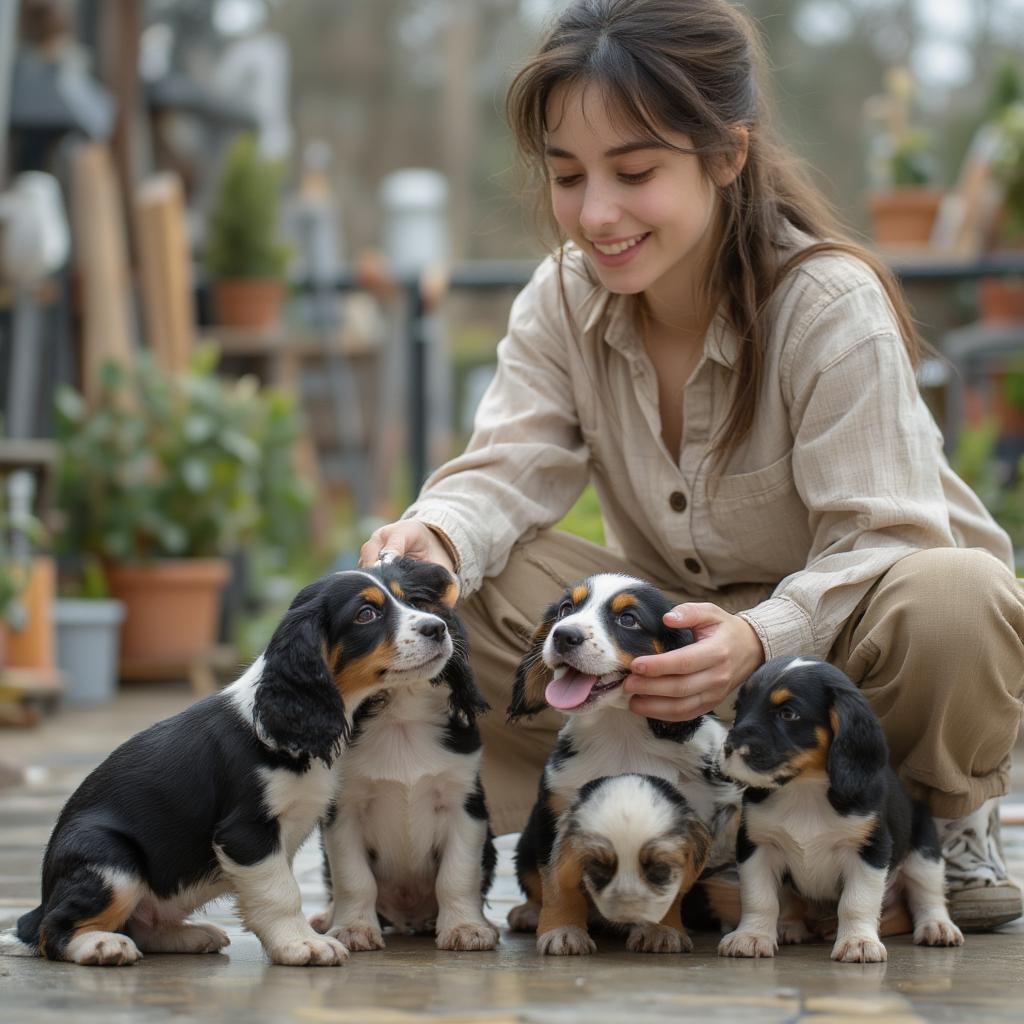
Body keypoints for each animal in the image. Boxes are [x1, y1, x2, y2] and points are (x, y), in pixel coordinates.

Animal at [313, 561, 501, 950]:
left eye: (416, 602)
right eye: (366, 614)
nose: (437, 627)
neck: (400, 712)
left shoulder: (464, 806)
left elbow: (457, 875)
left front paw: (465, 927)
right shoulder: (344, 812)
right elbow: (354, 879)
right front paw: (354, 928)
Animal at [505, 573, 741, 954]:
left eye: (628, 619)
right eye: (566, 609)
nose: (563, 635)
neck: (620, 732)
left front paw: (662, 930)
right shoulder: (556, 813)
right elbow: (556, 878)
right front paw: (562, 930)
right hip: (526, 841)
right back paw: (528, 912)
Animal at [716, 659, 962, 962]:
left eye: (788, 714)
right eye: (739, 707)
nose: (728, 749)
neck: (804, 789)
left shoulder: (869, 849)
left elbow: (856, 901)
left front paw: (858, 941)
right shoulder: (757, 846)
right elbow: (759, 898)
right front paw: (752, 936)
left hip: (924, 853)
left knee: (928, 895)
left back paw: (937, 926)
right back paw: (788, 926)